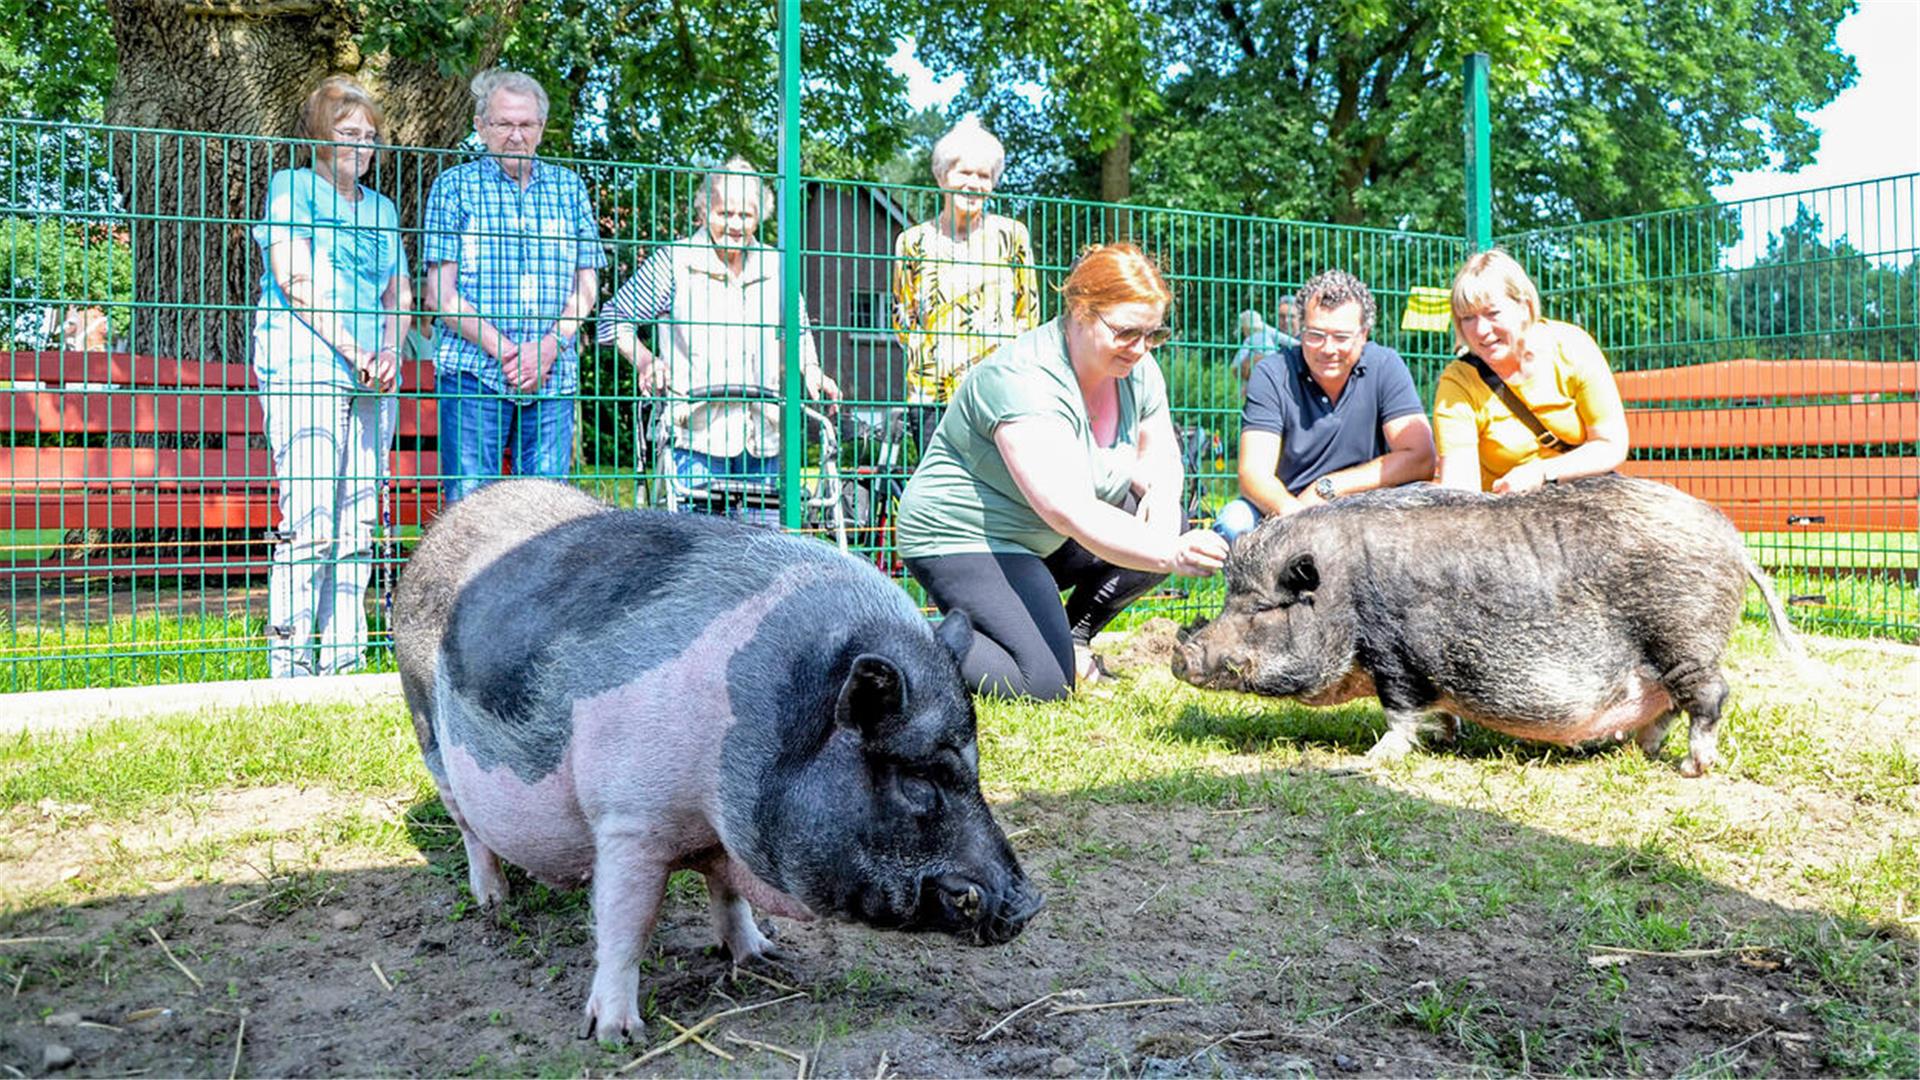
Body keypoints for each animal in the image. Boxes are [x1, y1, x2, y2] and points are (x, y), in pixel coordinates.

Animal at [391, 476, 1044, 1037]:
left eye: (975, 765)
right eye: (916, 778)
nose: (1030, 902)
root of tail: (440, 526)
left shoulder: (717, 835)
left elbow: (726, 895)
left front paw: (763, 956)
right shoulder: (630, 821)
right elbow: (628, 924)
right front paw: (615, 1034)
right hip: (426, 727)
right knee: (470, 829)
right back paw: (494, 902)